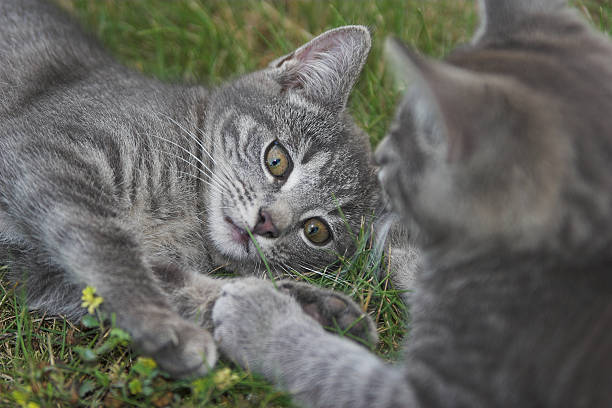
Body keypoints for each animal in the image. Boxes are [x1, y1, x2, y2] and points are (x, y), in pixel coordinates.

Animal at [210, 0, 612, 406]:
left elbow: (329, 365)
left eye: (316, 231)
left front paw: (262, 316)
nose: (265, 222)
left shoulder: (446, 389)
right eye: (277, 161)